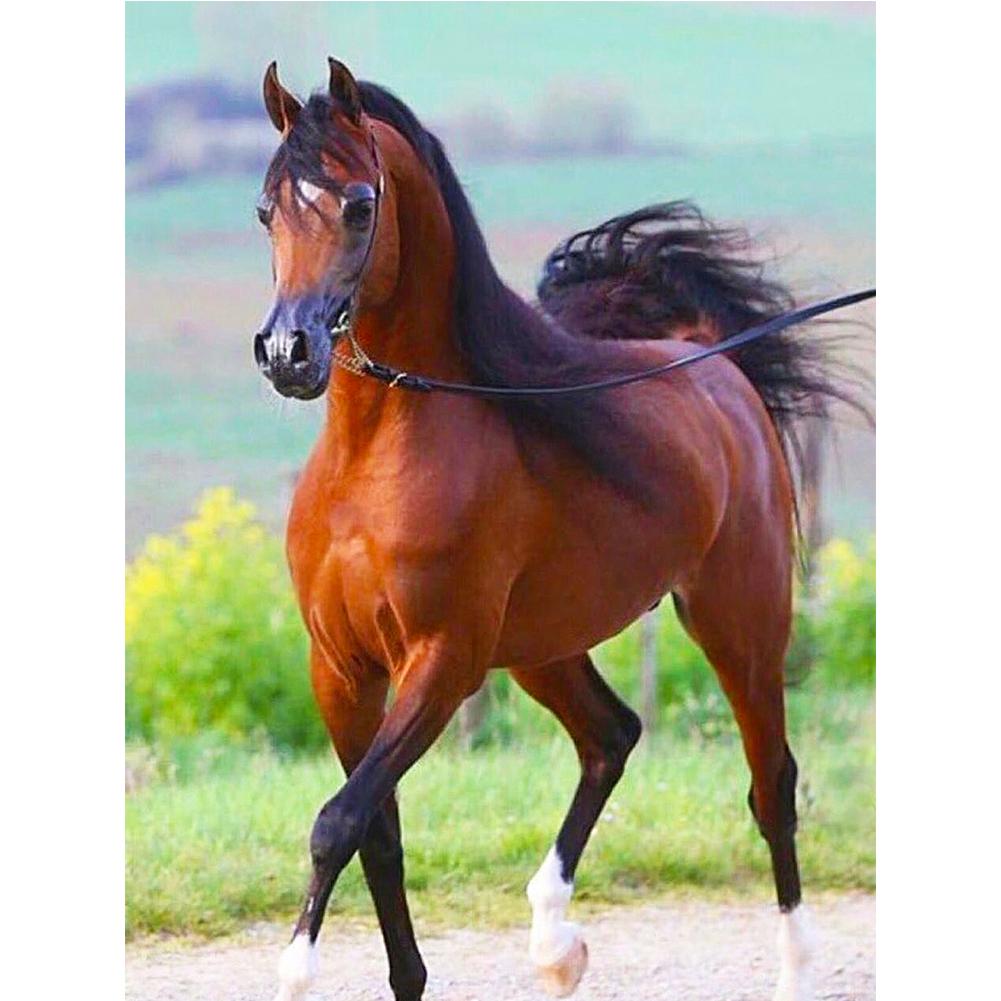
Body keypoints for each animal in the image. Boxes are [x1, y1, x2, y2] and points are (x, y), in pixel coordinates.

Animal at [252, 59, 869, 1001]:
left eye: (358, 204)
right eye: (266, 207)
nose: (290, 353)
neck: (376, 456)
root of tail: (715, 367)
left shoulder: (441, 661)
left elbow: (338, 820)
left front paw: (295, 967)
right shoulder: (342, 666)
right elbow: (377, 832)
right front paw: (407, 976)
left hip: (738, 622)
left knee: (771, 784)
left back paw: (795, 966)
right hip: (541, 647)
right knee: (611, 735)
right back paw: (554, 940)